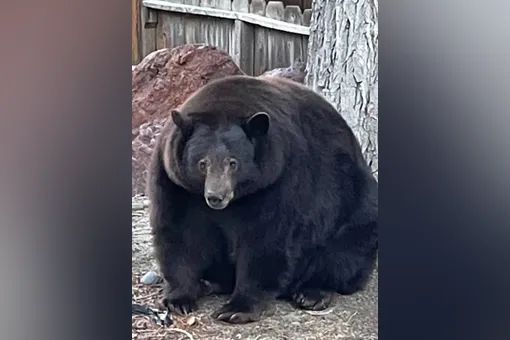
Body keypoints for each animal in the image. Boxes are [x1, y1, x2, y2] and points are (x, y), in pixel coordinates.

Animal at [147, 74, 378, 324]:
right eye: (202, 163)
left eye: (233, 162)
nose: (216, 197)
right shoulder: (176, 183)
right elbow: (179, 232)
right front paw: (179, 299)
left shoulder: (280, 178)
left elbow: (266, 239)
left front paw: (236, 308)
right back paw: (209, 282)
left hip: (353, 205)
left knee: (345, 251)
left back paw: (312, 293)